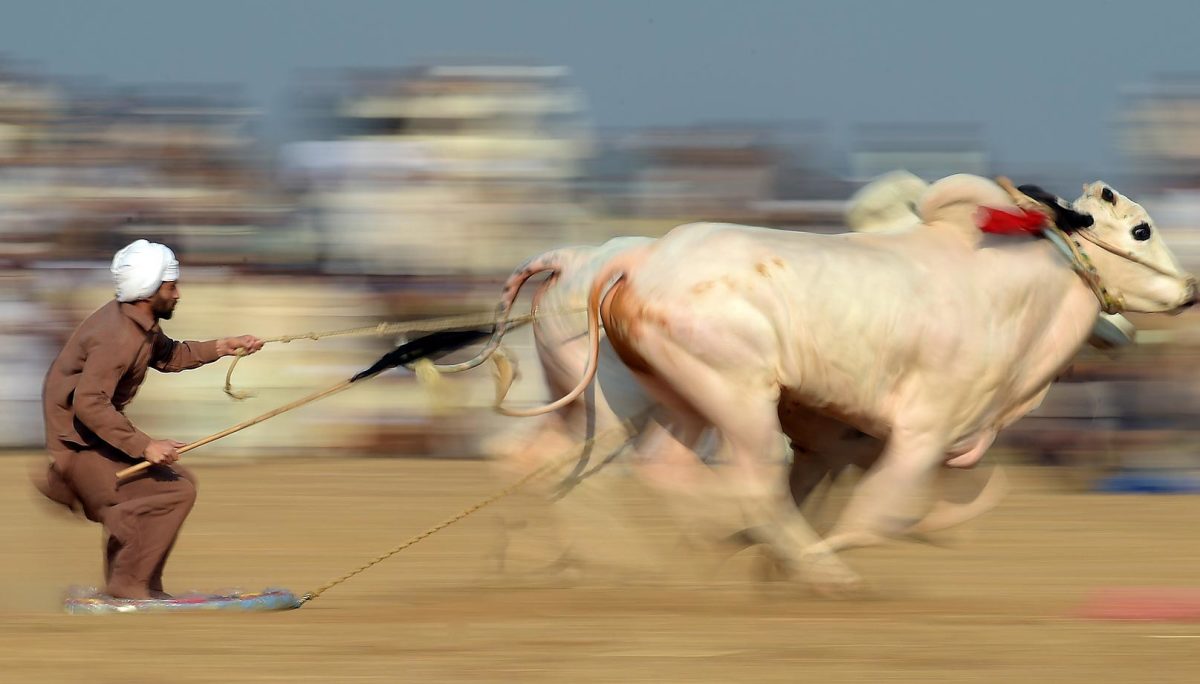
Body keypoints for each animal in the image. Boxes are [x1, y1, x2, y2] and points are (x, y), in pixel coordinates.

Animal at [463, 174, 1194, 593]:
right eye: (1141, 228)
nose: (1189, 288)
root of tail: (632, 257)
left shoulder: (843, 446)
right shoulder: (920, 434)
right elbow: (879, 514)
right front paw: (817, 561)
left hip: (645, 406)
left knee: (550, 461)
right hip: (733, 398)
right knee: (739, 481)